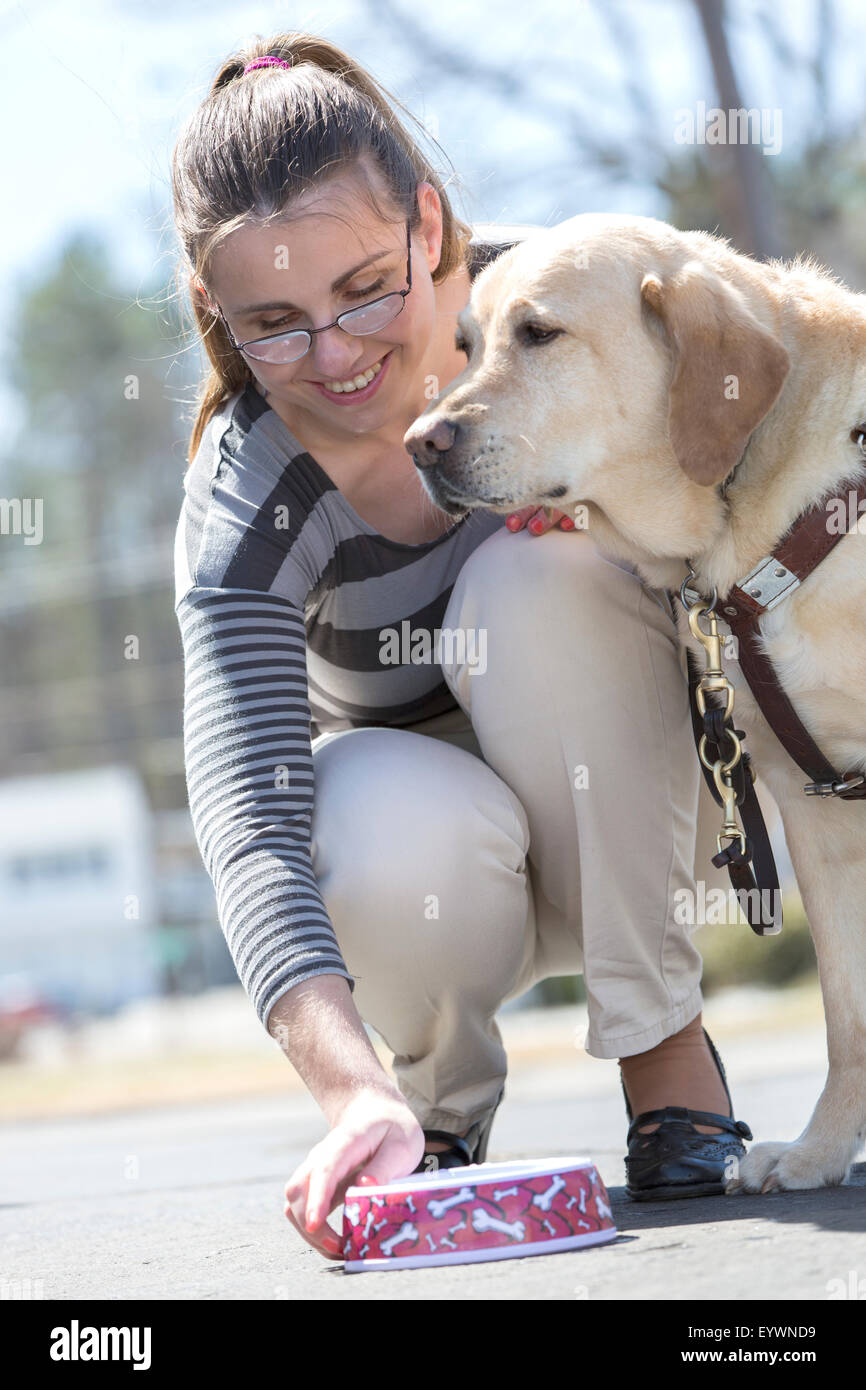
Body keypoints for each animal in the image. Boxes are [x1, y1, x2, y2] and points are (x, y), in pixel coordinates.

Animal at [405, 211, 866, 1189]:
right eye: (465, 344)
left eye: (539, 334)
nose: (418, 442)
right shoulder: (817, 809)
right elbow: (847, 1011)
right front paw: (819, 1150)